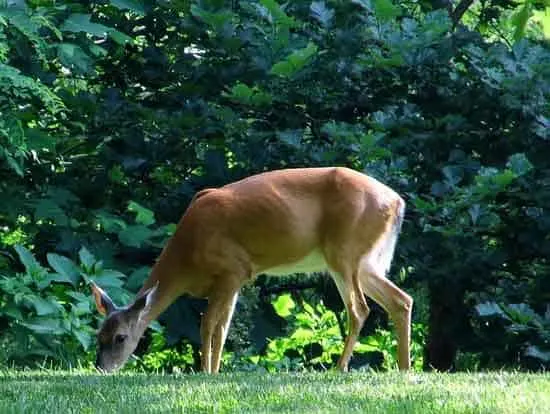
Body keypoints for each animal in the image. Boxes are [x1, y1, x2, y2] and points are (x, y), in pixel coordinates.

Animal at [90, 167, 412, 374]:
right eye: (98, 335)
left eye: (121, 337)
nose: (102, 368)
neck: (187, 257)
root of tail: (397, 202)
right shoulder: (235, 280)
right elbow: (223, 327)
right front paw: (215, 371)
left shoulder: (232, 268)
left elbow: (208, 324)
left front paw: (205, 372)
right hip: (364, 262)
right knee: (401, 300)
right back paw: (403, 368)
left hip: (344, 252)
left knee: (359, 308)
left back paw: (339, 369)